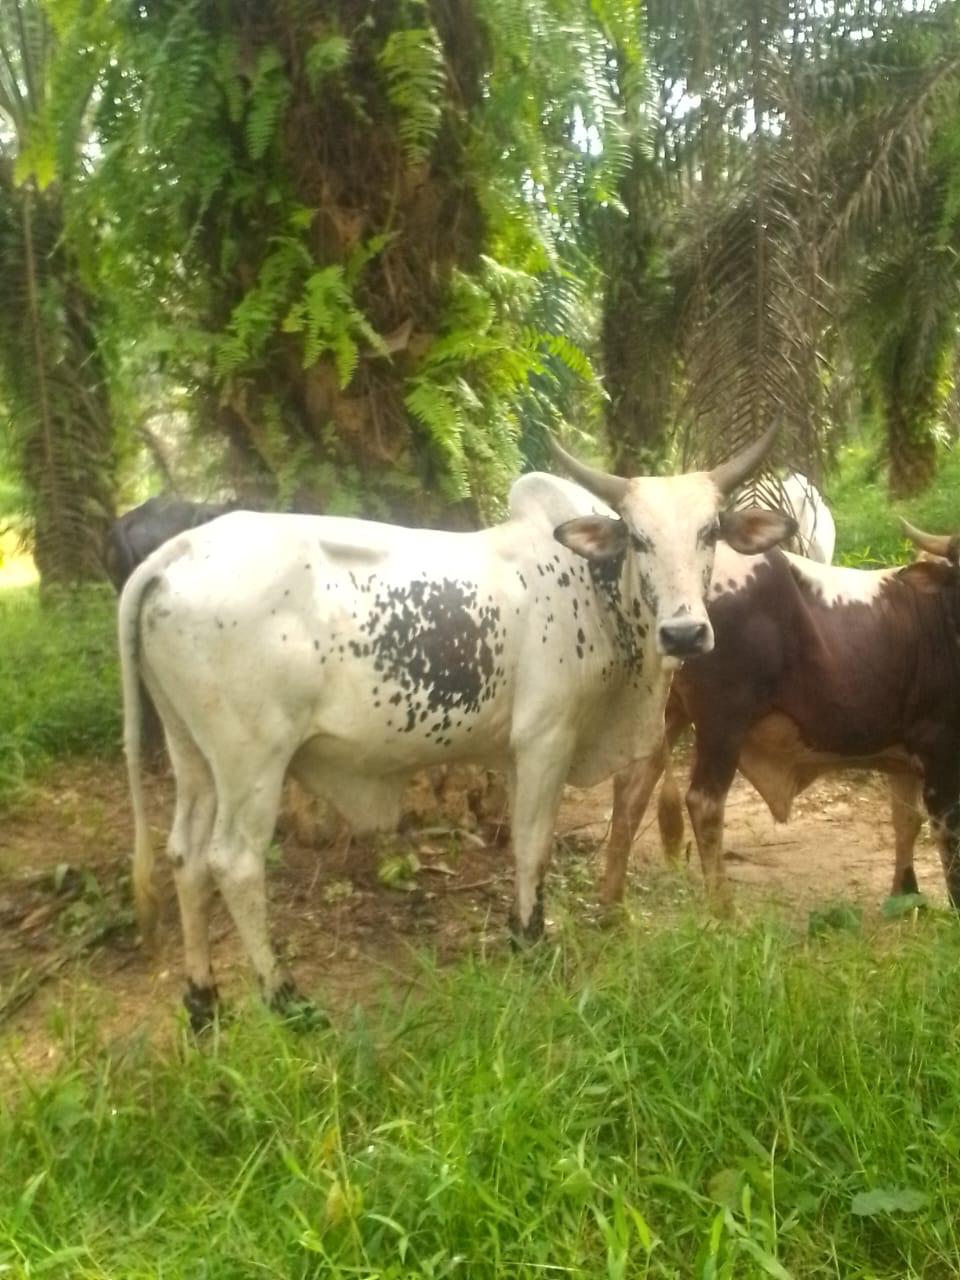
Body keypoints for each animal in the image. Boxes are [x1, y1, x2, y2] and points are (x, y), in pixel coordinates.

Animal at [117, 428, 792, 1027]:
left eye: (710, 531)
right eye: (639, 539)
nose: (685, 633)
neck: (592, 586)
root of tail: (174, 553)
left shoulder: (519, 756)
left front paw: (522, 929)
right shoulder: (545, 740)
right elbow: (533, 844)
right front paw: (532, 943)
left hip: (193, 755)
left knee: (186, 856)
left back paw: (203, 1001)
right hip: (251, 762)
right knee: (233, 861)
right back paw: (286, 1000)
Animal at [602, 519, 960, 913]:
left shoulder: (904, 754)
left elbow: (905, 821)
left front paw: (905, 894)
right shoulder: (942, 753)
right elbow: (948, 833)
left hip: (664, 711)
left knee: (632, 789)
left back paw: (613, 910)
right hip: (722, 721)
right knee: (703, 802)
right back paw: (724, 913)